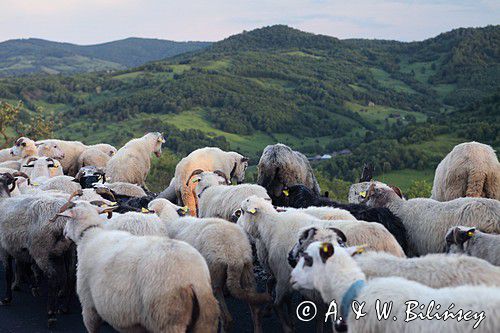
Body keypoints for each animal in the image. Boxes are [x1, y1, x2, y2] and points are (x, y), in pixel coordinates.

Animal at [57, 200, 218, 332]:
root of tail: (192, 277)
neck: (90, 233)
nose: (64, 233)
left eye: (68, 219)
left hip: (167, 318)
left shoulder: (89, 305)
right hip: (205, 319)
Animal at [147, 198, 270, 330]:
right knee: (255, 309)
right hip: (248, 272)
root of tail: (235, 256)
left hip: (214, 275)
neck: (170, 222)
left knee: (227, 319)